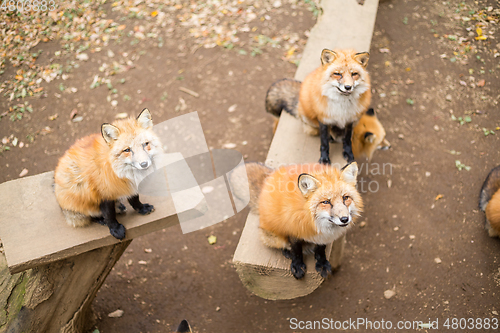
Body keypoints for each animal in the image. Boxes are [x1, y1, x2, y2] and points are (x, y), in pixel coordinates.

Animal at [54, 108, 164, 239]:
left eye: (145, 144)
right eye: (127, 150)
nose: (144, 164)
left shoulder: (130, 185)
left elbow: (135, 199)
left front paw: (141, 208)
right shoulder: (103, 193)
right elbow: (109, 215)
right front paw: (115, 229)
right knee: (90, 215)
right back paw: (101, 219)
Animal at [230, 161, 364, 278]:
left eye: (345, 198)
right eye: (325, 202)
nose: (345, 219)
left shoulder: (324, 237)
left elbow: (321, 249)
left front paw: (321, 263)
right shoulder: (293, 228)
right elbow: (296, 249)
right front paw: (297, 265)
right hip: (272, 236)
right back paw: (286, 251)